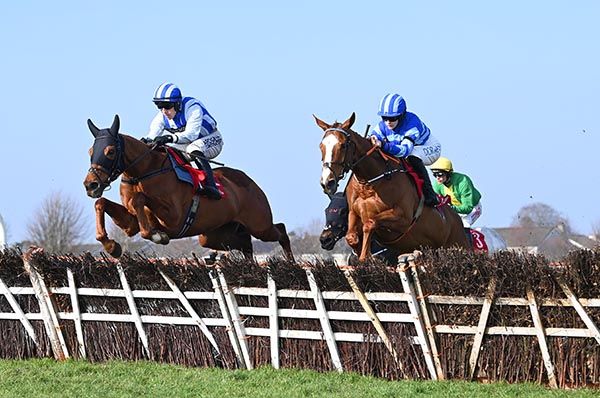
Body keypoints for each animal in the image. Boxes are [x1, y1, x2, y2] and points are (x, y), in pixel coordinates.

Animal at [82, 114, 292, 262]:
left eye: (110, 151)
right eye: (90, 151)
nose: (91, 184)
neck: (144, 172)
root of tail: (251, 183)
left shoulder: (174, 219)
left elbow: (139, 199)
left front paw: (157, 236)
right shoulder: (131, 222)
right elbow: (101, 203)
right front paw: (111, 246)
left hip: (260, 225)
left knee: (280, 230)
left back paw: (290, 262)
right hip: (214, 234)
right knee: (246, 243)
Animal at [314, 112, 468, 262]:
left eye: (343, 145)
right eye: (321, 146)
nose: (328, 182)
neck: (369, 184)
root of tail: (456, 219)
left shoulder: (402, 218)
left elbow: (370, 223)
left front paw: (366, 257)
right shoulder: (354, 213)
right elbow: (351, 237)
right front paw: (361, 255)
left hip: (457, 246)